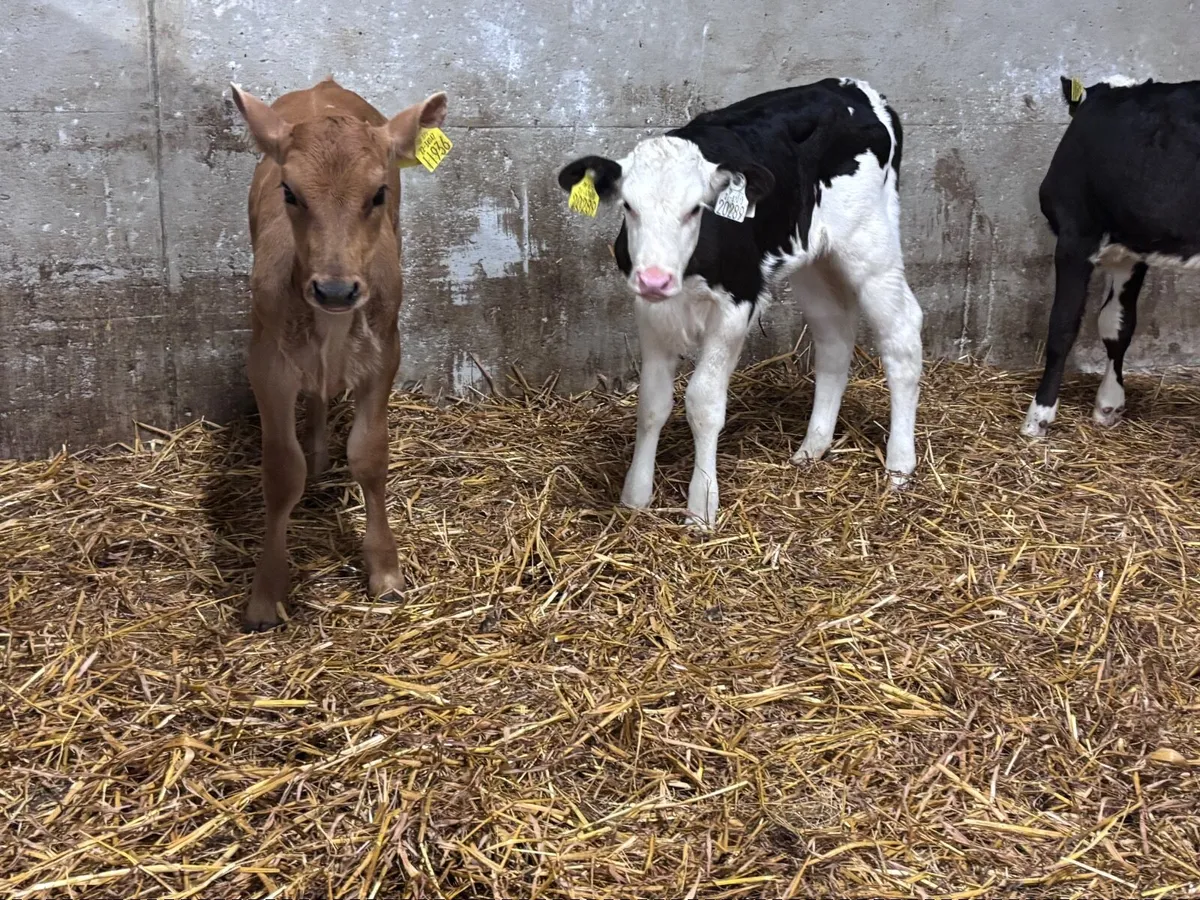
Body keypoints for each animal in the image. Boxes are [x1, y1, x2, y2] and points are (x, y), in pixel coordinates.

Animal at [229, 77, 447, 631]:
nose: (334, 289)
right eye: (289, 192)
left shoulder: (384, 355)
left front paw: (386, 572)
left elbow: (369, 455)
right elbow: (281, 471)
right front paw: (266, 594)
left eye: (378, 192)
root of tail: (321, 86)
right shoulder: (267, 365)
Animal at [558, 78, 924, 528]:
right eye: (629, 206)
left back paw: (899, 465)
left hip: (871, 244)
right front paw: (635, 496)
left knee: (902, 333)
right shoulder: (651, 310)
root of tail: (852, 87)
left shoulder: (737, 303)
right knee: (835, 336)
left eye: (695, 209)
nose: (655, 278)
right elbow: (652, 402)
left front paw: (701, 507)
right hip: (811, 258)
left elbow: (703, 402)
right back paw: (813, 446)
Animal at [1024, 75, 1200, 437]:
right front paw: (1109, 404)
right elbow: (1116, 324)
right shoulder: (1131, 248)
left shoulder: (1076, 234)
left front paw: (1039, 415)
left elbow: (1062, 325)